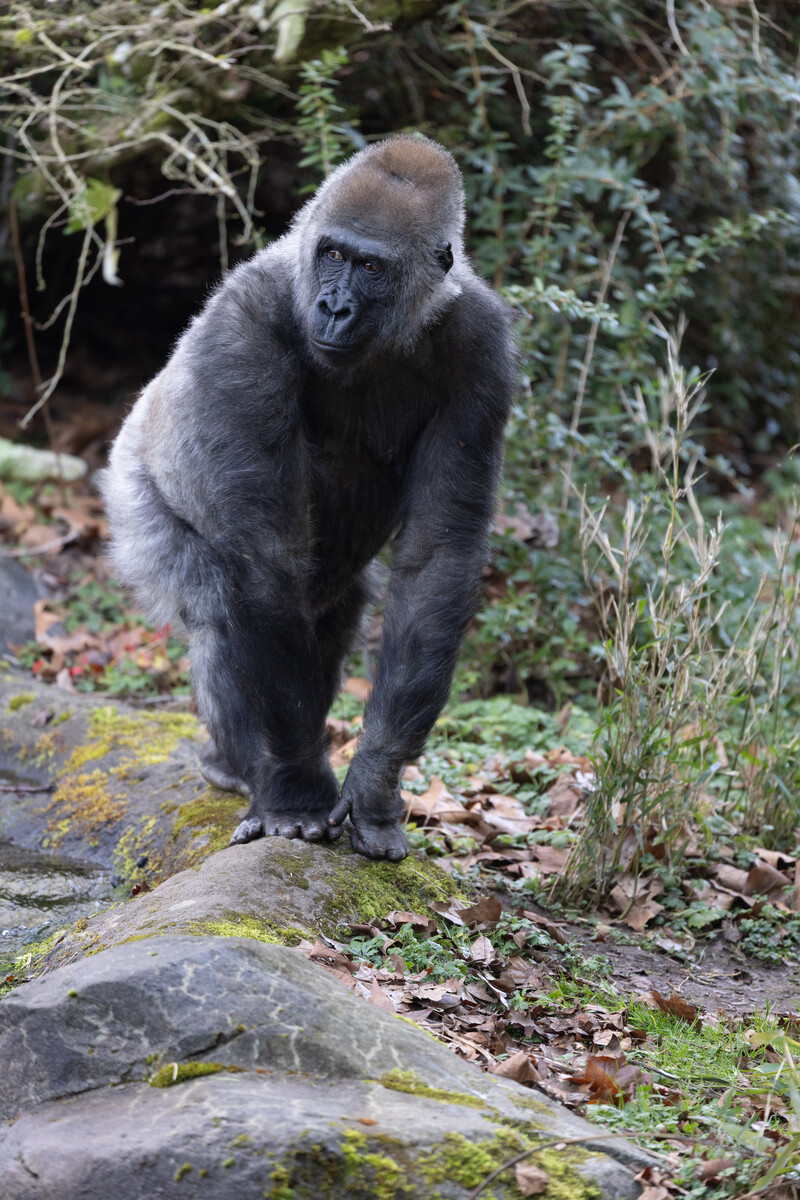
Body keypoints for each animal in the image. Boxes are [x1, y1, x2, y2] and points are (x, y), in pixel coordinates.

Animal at [102, 135, 516, 861]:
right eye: (334, 255)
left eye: (370, 267)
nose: (335, 308)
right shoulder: (241, 328)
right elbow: (264, 564)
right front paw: (296, 791)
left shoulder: (482, 347)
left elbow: (438, 556)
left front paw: (375, 780)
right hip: (131, 490)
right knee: (219, 601)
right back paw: (244, 770)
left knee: (330, 614)